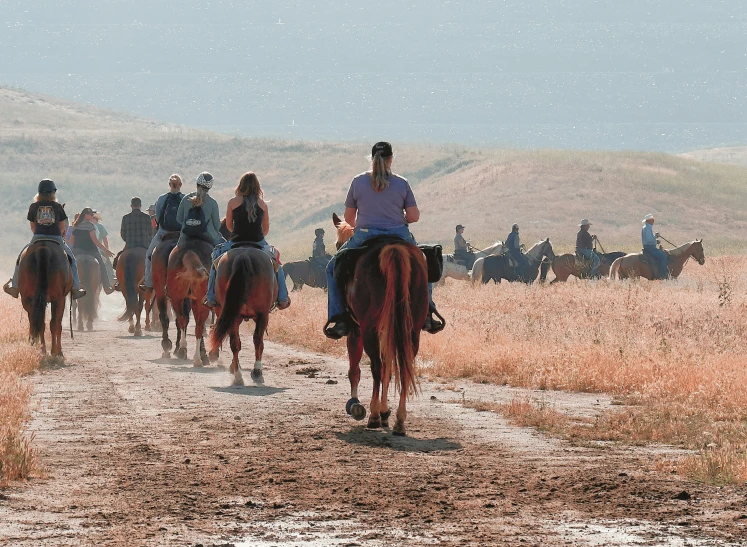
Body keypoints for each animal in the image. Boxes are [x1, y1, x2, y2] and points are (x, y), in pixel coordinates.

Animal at [168, 238, 215, 366]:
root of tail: (190, 251)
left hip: (177, 298)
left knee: (183, 320)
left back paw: (185, 351)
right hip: (199, 302)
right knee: (198, 326)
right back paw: (197, 357)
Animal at [209, 246, 276, 388]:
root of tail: (243, 256)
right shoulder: (262, 315)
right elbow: (260, 342)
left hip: (231, 315)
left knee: (234, 343)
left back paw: (238, 376)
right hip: (261, 314)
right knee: (257, 340)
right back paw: (256, 372)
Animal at [332, 213, 430, 436]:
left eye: (338, 244)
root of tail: (392, 248)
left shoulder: (356, 330)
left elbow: (356, 369)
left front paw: (355, 405)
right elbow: (389, 368)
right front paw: (386, 412)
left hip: (368, 328)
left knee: (376, 366)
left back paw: (374, 415)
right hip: (411, 330)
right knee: (404, 366)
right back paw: (399, 421)